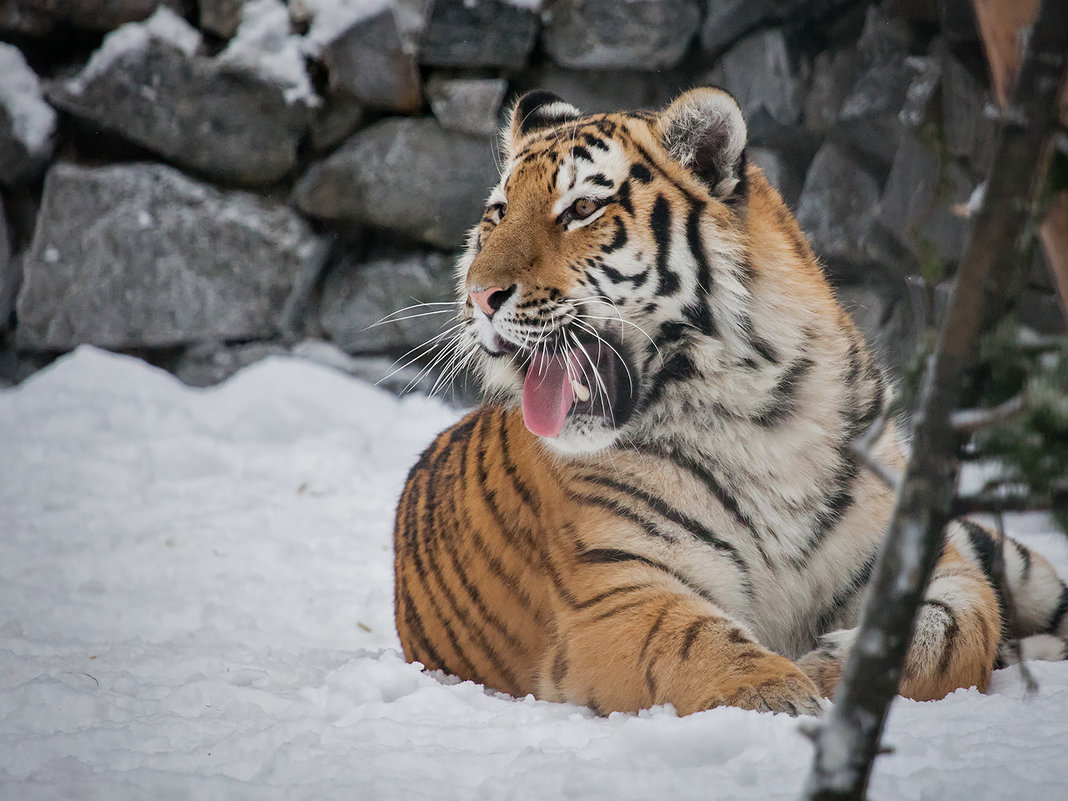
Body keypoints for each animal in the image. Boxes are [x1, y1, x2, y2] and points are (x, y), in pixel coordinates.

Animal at [393, 89, 1068, 721]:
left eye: (582, 208)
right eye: (498, 214)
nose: (479, 296)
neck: (759, 414)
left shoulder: (928, 560)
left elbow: (955, 633)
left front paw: (831, 669)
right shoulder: (612, 591)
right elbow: (693, 638)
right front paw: (781, 694)